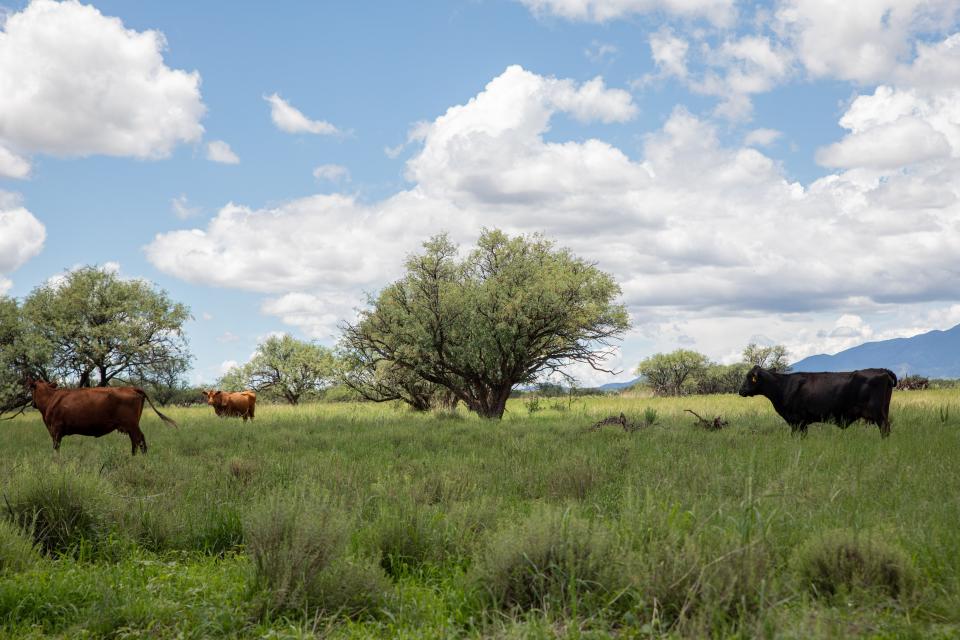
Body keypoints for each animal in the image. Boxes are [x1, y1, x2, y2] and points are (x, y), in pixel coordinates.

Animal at [27, 380, 178, 456]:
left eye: (31, 389)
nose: (32, 403)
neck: (50, 398)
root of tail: (131, 388)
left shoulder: (55, 430)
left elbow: (56, 448)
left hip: (132, 425)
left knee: (139, 439)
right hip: (131, 426)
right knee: (136, 441)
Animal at [740, 368, 896, 438]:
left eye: (749, 377)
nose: (740, 390)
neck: (783, 386)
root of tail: (882, 370)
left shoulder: (797, 421)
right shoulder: (800, 423)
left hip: (878, 413)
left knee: (884, 428)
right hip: (884, 410)